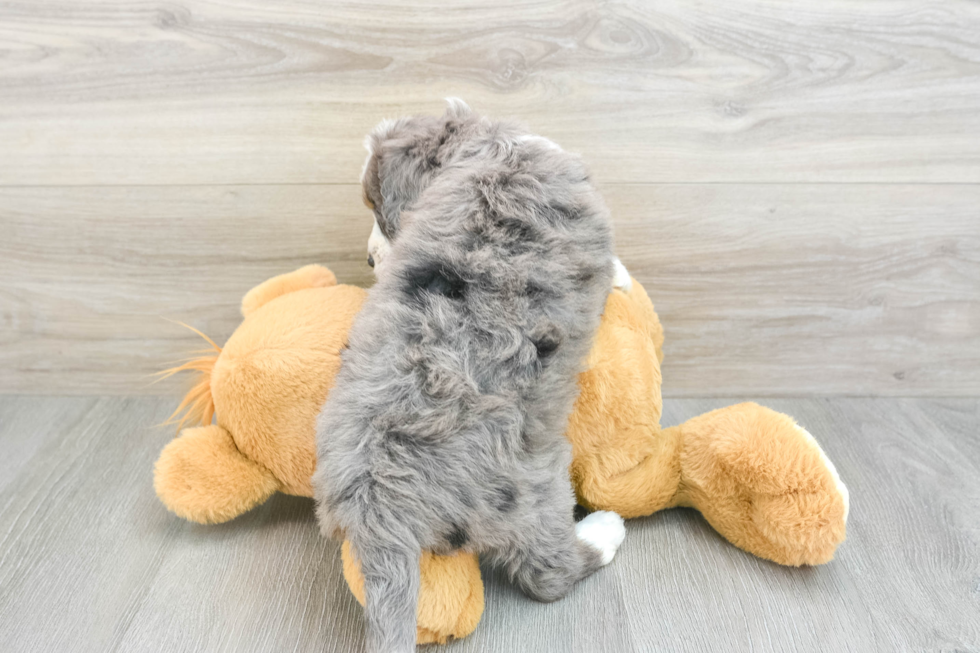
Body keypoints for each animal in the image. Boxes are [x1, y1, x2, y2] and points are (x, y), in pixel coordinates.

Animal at [316, 102, 628, 652]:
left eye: (374, 204)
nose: (370, 260)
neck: (498, 149)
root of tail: (377, 501)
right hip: (533, 492)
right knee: (550, 573)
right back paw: (603, 531)